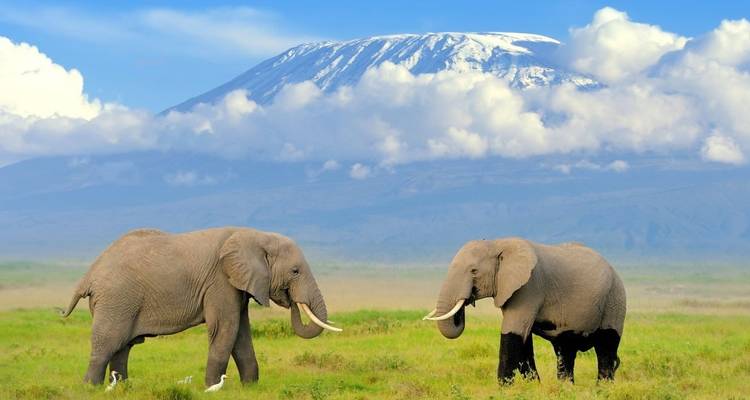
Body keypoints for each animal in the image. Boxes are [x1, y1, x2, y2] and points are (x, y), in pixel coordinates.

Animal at [59, 227, 341, 387]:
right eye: (295, 271)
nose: (291, 299)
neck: (256, 235)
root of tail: (89, 274)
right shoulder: (220, 281)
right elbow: (226, 329)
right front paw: (212, 388)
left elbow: (241, 333)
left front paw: (251, 388)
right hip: (116, 300)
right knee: (108, 343)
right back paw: (91, 388)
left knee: (123, 347)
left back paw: (123, 387)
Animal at [424, 238, 626, 384]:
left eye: (474, 271)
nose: (467, 301)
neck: (498, 243)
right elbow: (524, 341)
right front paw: (534, 386)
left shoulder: (529, 287)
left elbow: (512, 335)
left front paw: (504, 389)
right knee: (565, 350)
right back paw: (566, 388)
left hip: (615, 299)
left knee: (606, 347)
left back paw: (602, 389)